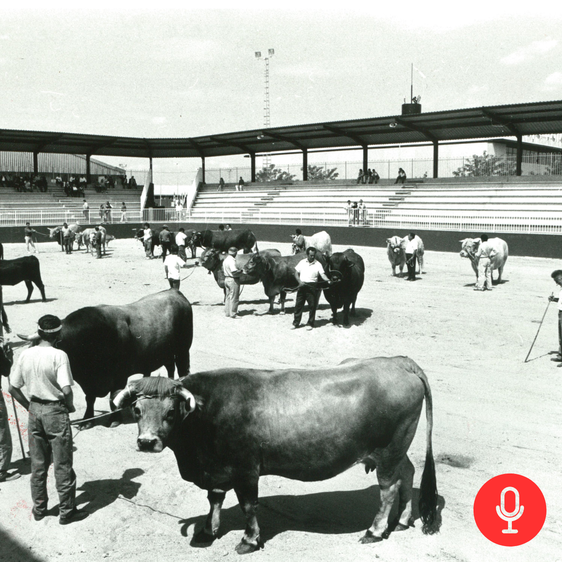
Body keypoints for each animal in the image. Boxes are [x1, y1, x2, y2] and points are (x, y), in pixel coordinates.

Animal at [18, 288, 191, 424]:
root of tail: (174, 292)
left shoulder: (119, 376)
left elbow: (113, 397)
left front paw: (114, 419)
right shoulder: (89, 382)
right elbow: (90, 399)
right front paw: (87, 419)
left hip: (183, 350)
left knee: (183, 371)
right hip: (167, 354)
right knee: (170, 368)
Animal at [114, 354, 438, 552]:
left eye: (170, 412)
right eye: (137, 410)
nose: (146, 442)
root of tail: (400, 362)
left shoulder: (245, 470)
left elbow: (248, 506)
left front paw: (249, 539)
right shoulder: (216, 470)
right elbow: (215, 500)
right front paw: (207, 531)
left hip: (388, 452)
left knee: (388, 490)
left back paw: (375, 530)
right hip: (397, 450)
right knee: (408, 473)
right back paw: (403, 520)